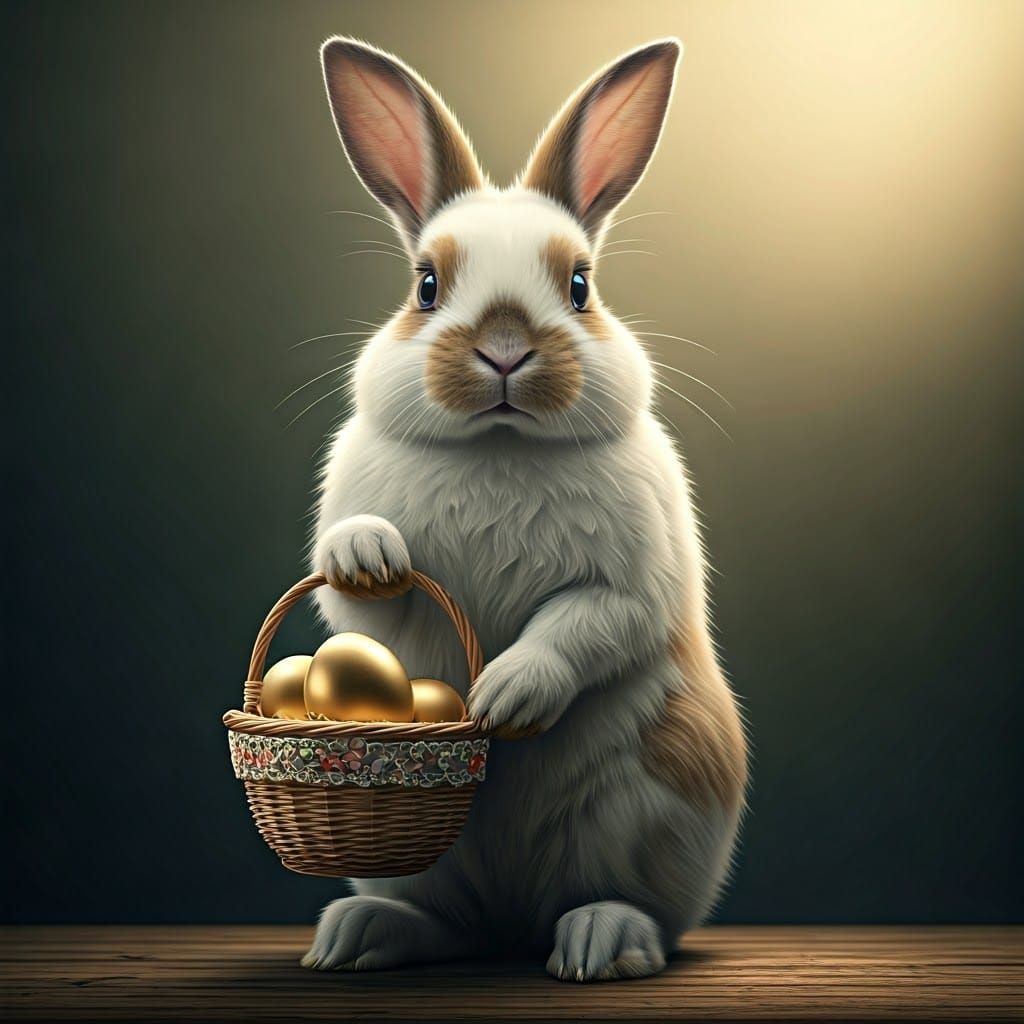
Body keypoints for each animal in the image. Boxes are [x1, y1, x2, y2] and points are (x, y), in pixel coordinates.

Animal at [301, 36, 747, 982]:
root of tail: (512, 916)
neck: (499, 449)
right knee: (451, 924)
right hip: (409, 863)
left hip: (655, 805)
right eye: (426, 285)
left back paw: (602, 942)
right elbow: (360, 600)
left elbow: (586, 625)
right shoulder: (363, 582)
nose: (504, 349)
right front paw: (367, 554)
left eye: (579, 285)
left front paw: (505, 696)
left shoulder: (631, 581)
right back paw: (359, 936)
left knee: (629, 910)